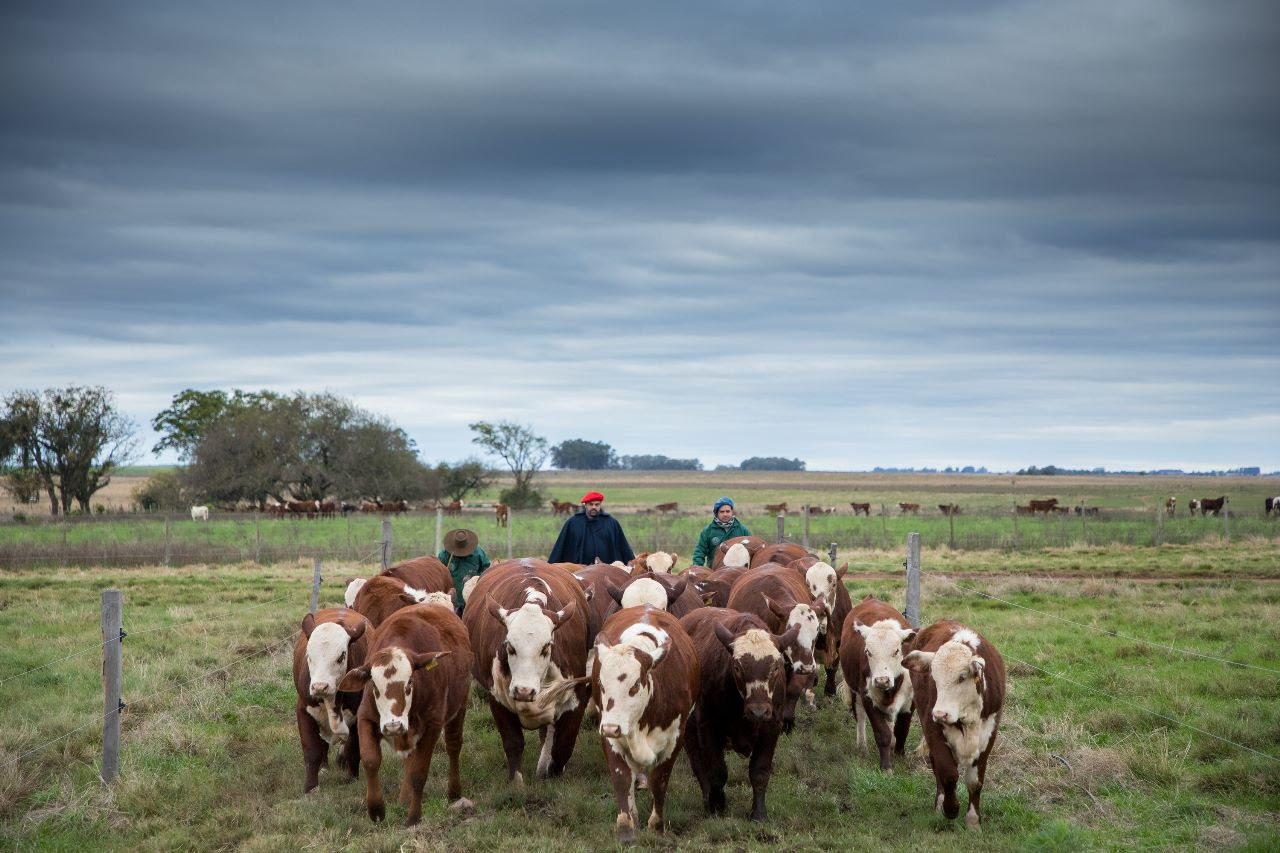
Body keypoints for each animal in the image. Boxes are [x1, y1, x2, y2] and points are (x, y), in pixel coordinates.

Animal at [291, 604, 368, 788]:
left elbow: (353, 749)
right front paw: (311, 787)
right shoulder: (304, 711)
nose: (320, 686)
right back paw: (324, 767)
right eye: (309, 655)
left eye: (341, 656)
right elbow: (312, 751)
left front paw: (351, 778)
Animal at [340, 596, 476, 824]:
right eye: (374, 685)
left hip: (460, 707)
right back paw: (404, 797)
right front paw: (376, 809)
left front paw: (414, 816)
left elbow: (419, 773)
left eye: (410, 682)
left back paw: (453, 791)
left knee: (453, 746)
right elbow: (371, 761)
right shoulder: (366, 717)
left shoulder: (432, 726)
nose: (393, 726)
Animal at [588, 604, 701, 845]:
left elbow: (659, 780)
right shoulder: (610, 735)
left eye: (634, 686)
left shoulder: (675, 738)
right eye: (601, 684)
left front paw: (656, 825)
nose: (611, 727)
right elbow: (622, 778)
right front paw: (626, 828)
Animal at [839, 596, 921, 768]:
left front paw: (899, 755)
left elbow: (902, 730)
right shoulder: (868, 698)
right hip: (855, 691)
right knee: (859, 715)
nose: (882, 680)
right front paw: (886, 766)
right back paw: (862, 747)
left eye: (896, 650)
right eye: (868, 651)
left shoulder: (911, 700)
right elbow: (882, 733)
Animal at [906, 614, 1003, 824]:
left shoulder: (989, 733)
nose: (940, 713)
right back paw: (940, 803)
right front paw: (950, 809)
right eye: (933, 677)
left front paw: (973, 820)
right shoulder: (933, 729)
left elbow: (975, 782)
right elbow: (948, 773)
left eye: (962, 676)